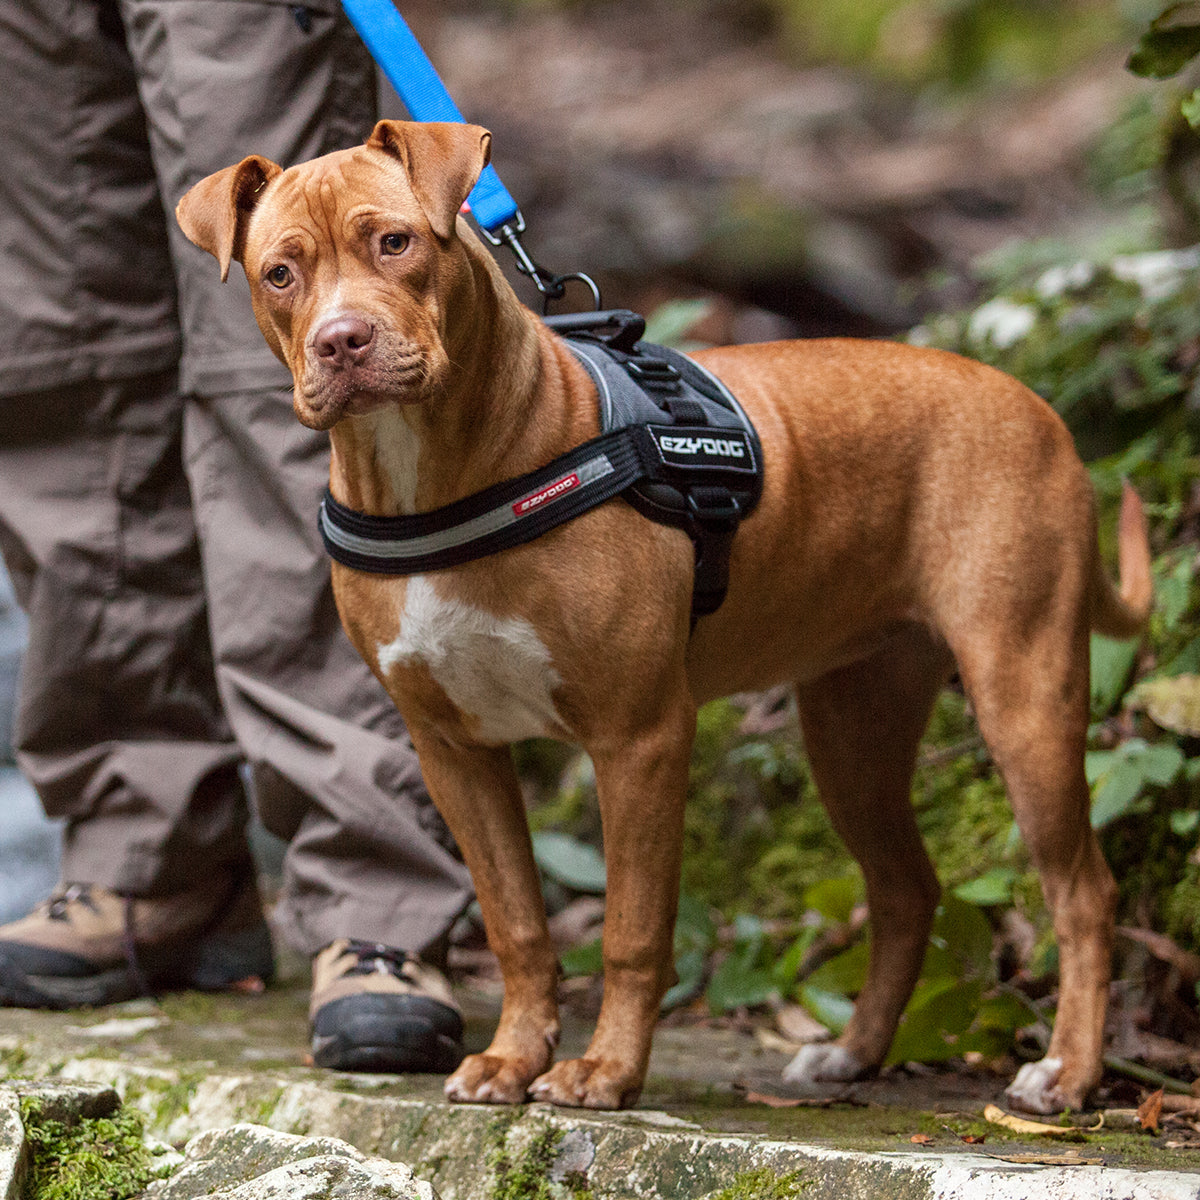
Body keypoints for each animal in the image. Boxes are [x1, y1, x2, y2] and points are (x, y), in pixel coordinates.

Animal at [177, 121, 1152, 1113]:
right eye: (280, 273)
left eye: (395, 242)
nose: (342, 341)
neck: (434, 478)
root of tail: (1035, 406)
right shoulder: (455, 751)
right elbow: (516, 923)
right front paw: (513, 1057)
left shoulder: (638, 736)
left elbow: (632, 930)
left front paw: (607, 1069)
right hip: (853, 727)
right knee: (907, 888)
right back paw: (852, 1054)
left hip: (1022, 696)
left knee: (1083, 892)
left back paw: (1067, 1073)